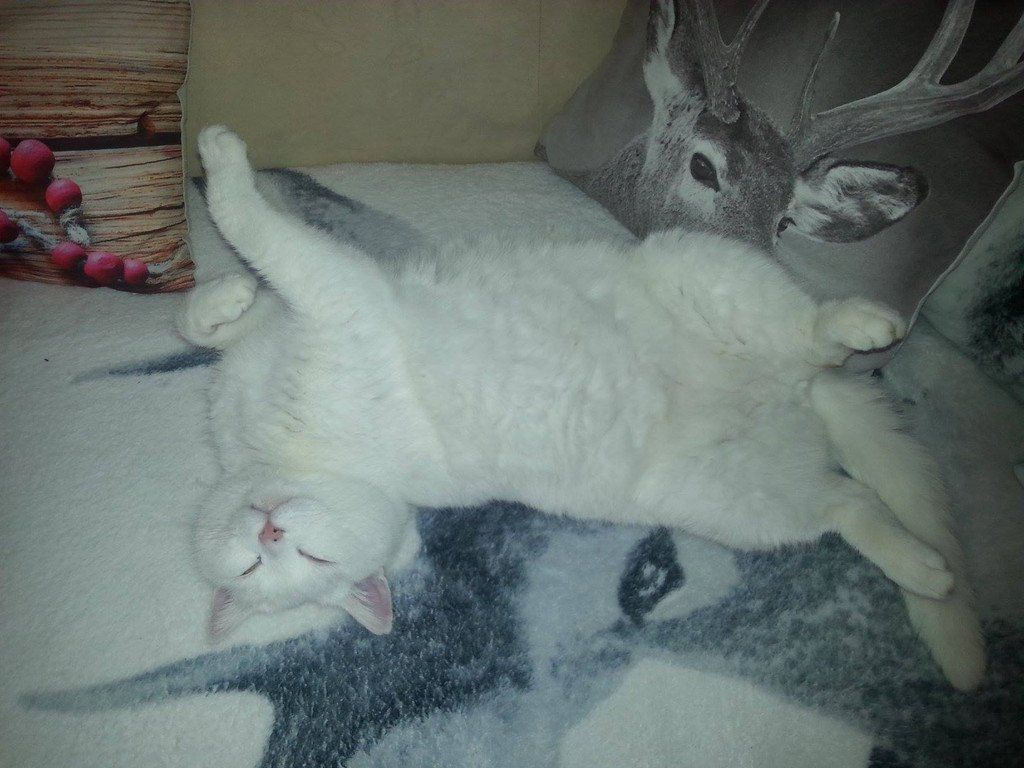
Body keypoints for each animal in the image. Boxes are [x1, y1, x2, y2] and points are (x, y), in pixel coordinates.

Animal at [179, 124, 983, 690]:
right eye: (257, 568)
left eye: (307, 556)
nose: (271, 531)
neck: (265, 451)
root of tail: (790, 393)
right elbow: (235, 274)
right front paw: (226, 280)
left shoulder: (334, 291)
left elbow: (243, 248)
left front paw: (221, 221)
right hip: (741, 504)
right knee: (849, 502)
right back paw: (927, 569)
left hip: (695, 263)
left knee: (810, 332)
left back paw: (863, 324)